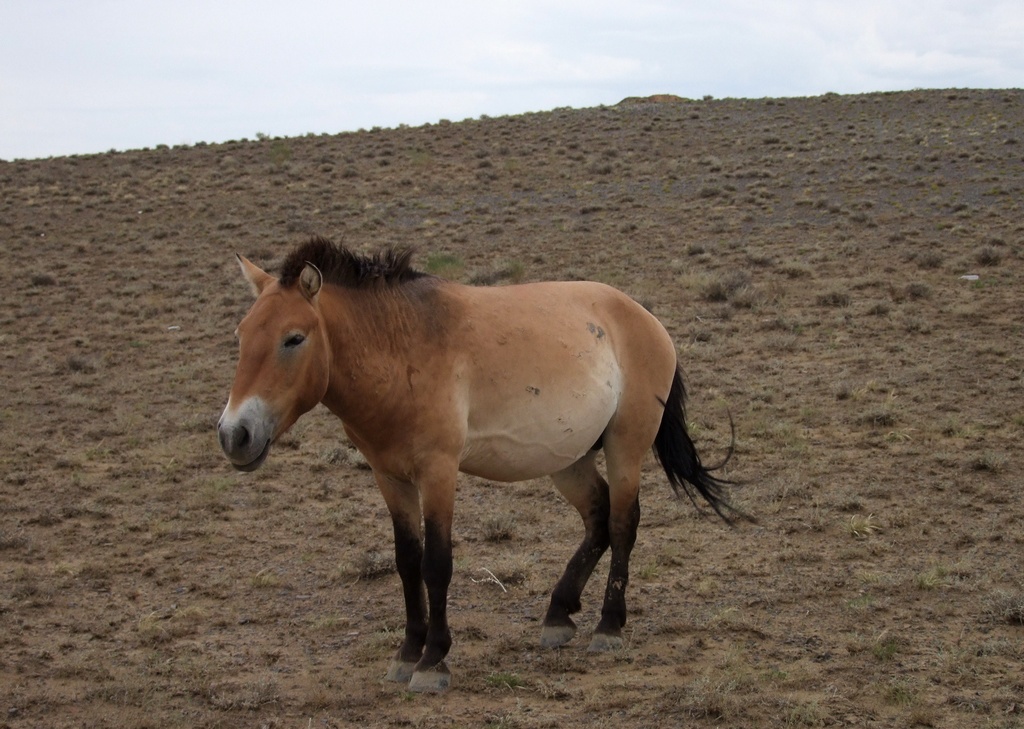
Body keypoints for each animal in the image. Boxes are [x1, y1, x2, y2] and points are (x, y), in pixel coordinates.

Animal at [218, 236, 737, 692]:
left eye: (293, 339)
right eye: (241, 335)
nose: (234, 435)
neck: (400, 346)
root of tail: (645, 318)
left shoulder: (438, 472)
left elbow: (436, 564)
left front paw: (433, 661)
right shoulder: (390, 477)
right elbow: (406, 562)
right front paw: (406, 653)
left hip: (625, 445)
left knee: (623, 522)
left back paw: (608, 627)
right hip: (568, 459)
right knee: (598, 518)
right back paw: (558, 614)